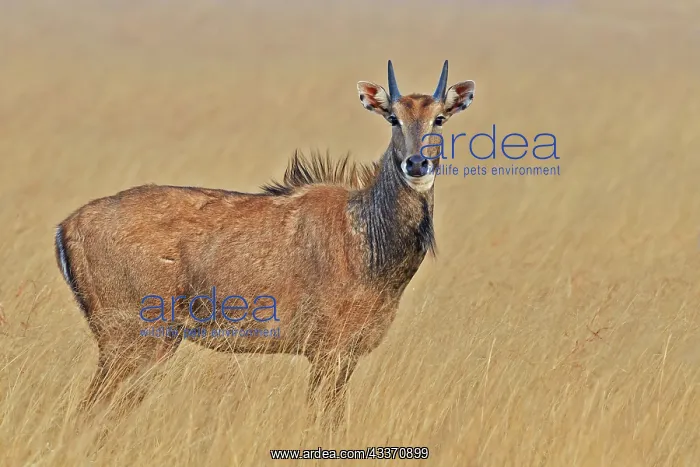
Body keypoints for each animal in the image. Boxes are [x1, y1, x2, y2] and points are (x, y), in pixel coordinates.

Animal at [54, 60, 475, 428]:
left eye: (439, 117)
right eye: (393, 117)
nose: (416, 164)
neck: (368, 237)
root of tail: (66, 227)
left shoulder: (346, 354)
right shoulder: (328, 351)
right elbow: (325, 421)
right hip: (134, 340)